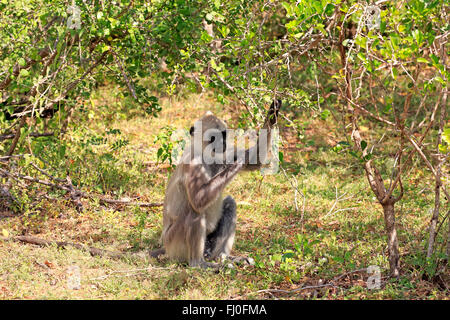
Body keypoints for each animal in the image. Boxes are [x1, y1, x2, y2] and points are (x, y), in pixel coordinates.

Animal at [151, 100, 282, 268]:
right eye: (213, 137)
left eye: (223, 135)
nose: (222, 143)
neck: (204, 152)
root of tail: (166, 248)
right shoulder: (192, 163)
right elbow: (198, 200)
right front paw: (237, 163)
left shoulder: (223, 153)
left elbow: (255, 159)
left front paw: (273, 113)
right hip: (175, 245)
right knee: (195, 212)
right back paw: (199, 264)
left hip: (208, 245)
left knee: (230, 203)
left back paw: (224, 257)